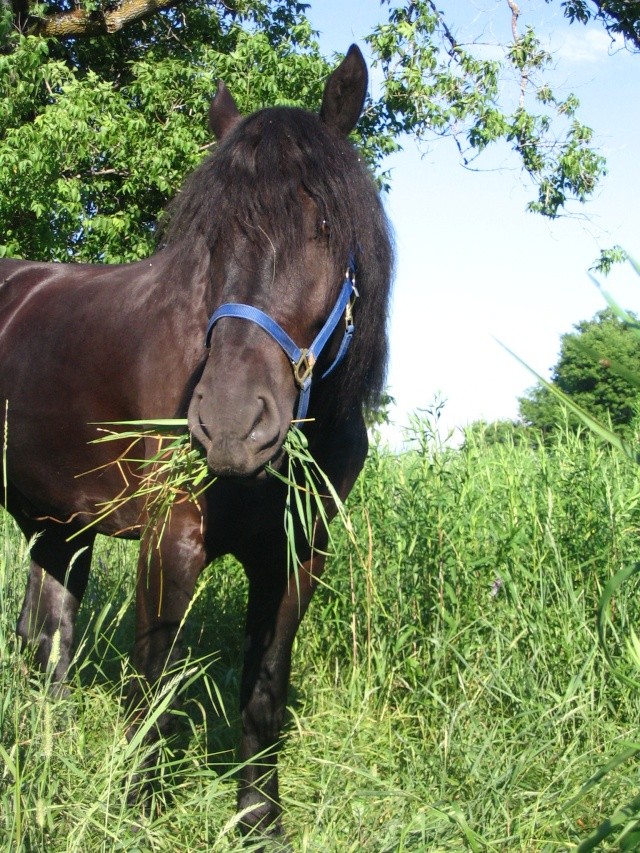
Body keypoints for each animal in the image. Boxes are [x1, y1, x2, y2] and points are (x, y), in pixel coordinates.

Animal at [0, 46, 392, 840]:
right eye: (210, 237)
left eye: (325, 225)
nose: (232, 424)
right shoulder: (170, 535)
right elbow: (152, 684)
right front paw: (135, 812)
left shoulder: (297, 552)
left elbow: (264, 689)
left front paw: (259, 820)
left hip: (58, 527)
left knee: (44, 643)